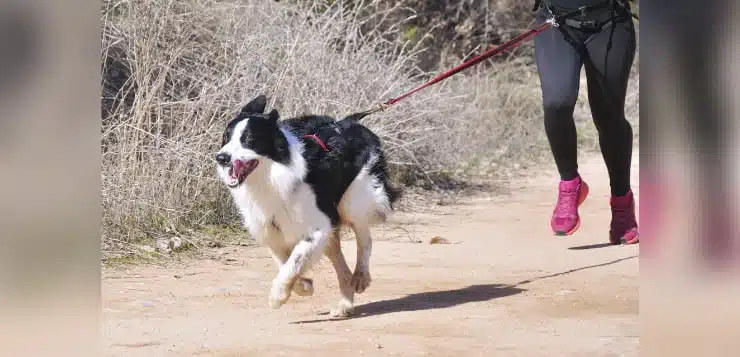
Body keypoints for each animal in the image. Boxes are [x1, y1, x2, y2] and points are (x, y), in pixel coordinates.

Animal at [215, 94, 398, 314]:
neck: (271, 175)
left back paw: (360, 277)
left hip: (351, 201)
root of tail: (352, 124)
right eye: (226, 137)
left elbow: (294, 261)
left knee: (365, 239)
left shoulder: (318, 226)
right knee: (340, 262)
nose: (221, 158)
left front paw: (277, 296)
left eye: (248, 139)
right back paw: (344, 305)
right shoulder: (271, 230)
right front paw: (304, 286)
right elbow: (285, 262)